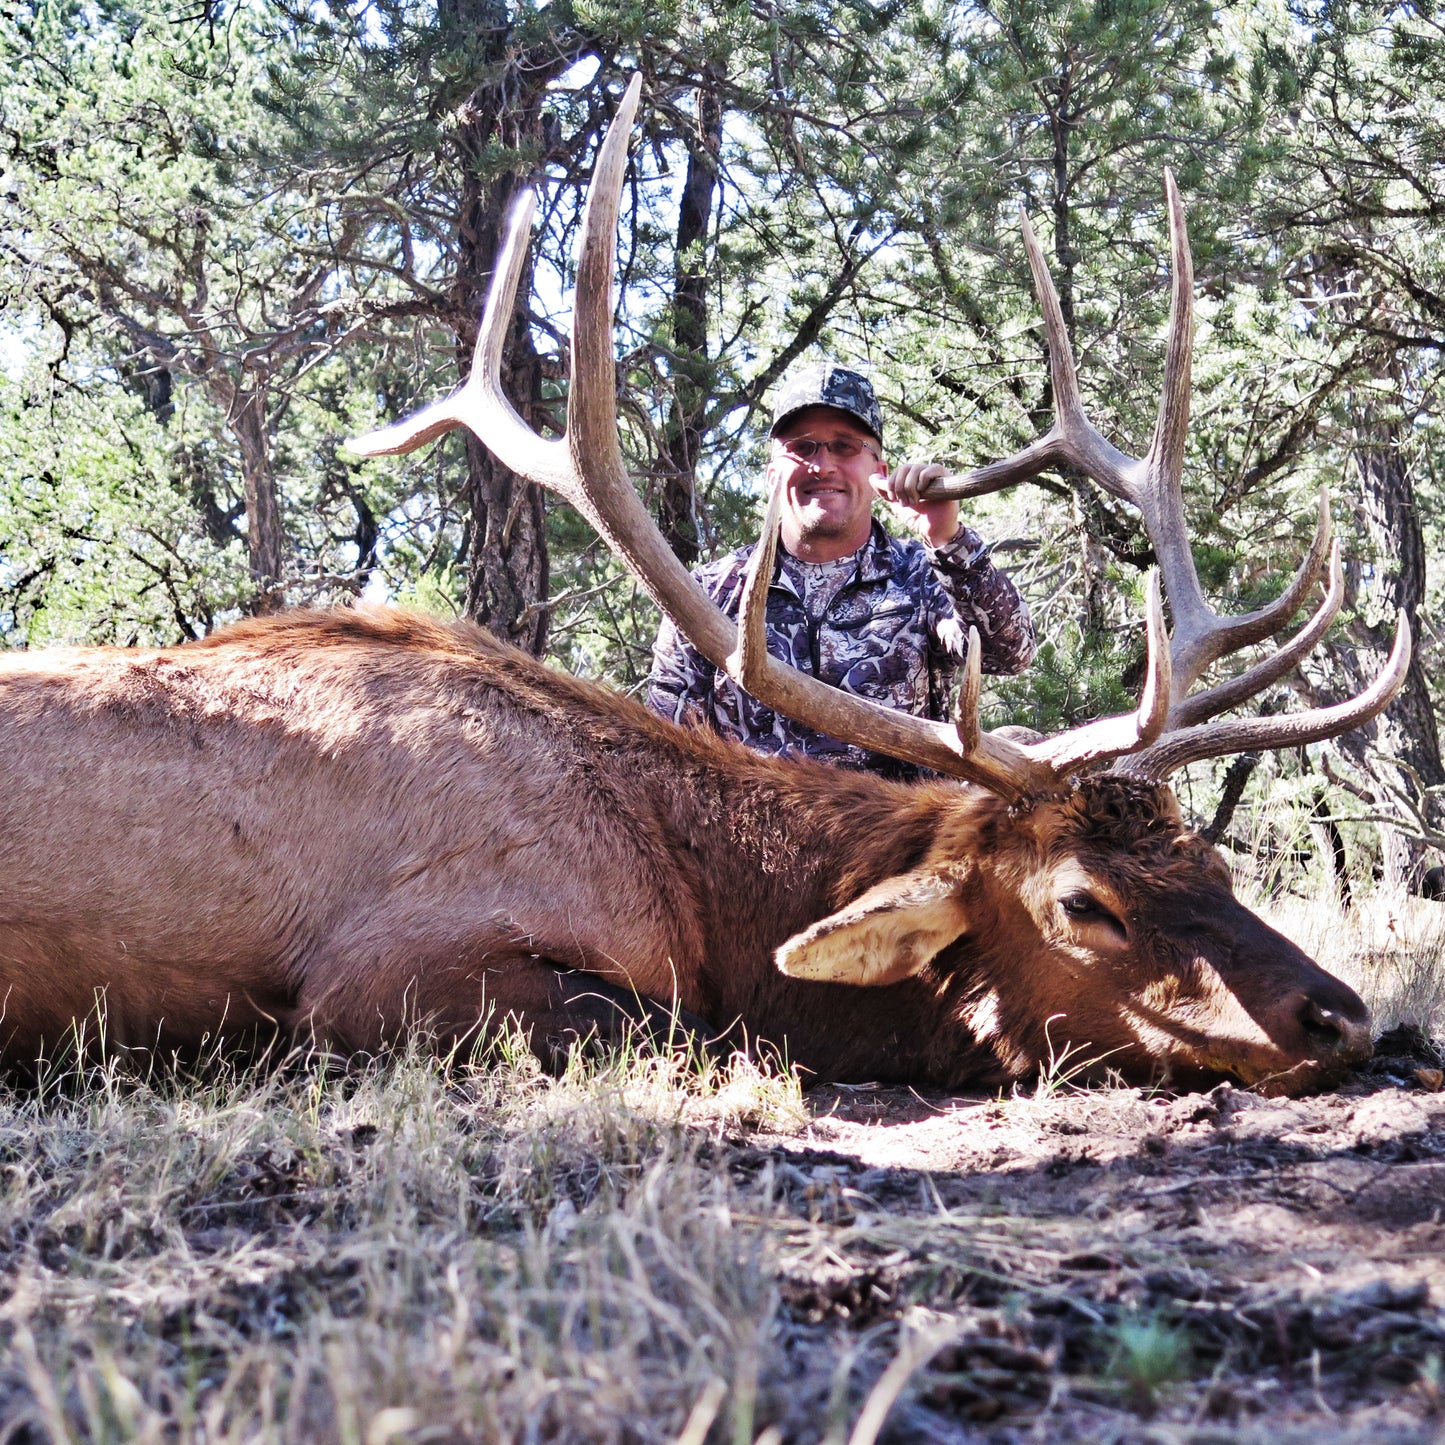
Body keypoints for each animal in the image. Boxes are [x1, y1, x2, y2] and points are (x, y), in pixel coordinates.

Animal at [0, 77, 1407, 1098]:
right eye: (1083, 901)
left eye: (1210, 861)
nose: (1341, 1016)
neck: (693, 890)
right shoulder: (379, 970)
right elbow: (691, 1030)